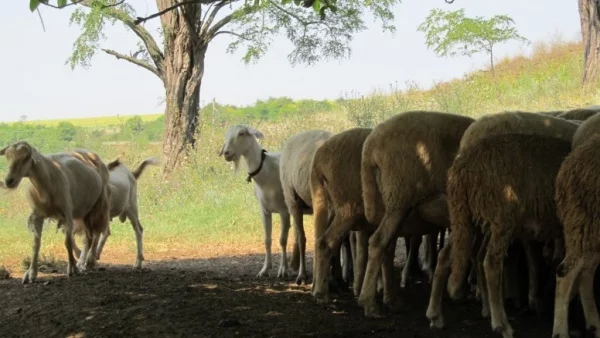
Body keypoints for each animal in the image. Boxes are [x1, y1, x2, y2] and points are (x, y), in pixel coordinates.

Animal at [220, 124, 296, 278]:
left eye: (241, 133)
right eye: (226, 134)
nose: (226, 153)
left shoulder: (284, 210)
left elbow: (282, 240)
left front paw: (283, 270)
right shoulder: (264, 210)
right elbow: (267, 240)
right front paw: (265, 269)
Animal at [356, 111, 474, 316]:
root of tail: (370, 145)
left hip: (389, 201)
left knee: (387, 247)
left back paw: (392, 299)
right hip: (399, 196)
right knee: (378, 242)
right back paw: (369, 303)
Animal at [442, 133, 568, 336]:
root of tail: (463, 167)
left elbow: (535, 260)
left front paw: (535, 301)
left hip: (467, 217)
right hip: (502, 216)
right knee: (491, 263)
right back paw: (502, 325)